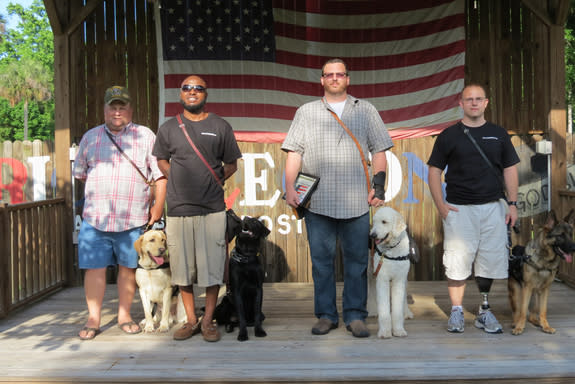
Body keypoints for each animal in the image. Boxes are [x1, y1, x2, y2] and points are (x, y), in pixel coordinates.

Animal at [368, 207, 414, 340]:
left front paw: (398, 330)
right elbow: (383, 307)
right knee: (371, 290)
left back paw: (406, 312)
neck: (391, 250)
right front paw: (385, 332)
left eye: (384, 222)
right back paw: (372, 310)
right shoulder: (382, 278)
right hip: (370, 272)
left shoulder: (399, 279)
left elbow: (398, 307)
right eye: (374, 221)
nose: (372, 235)